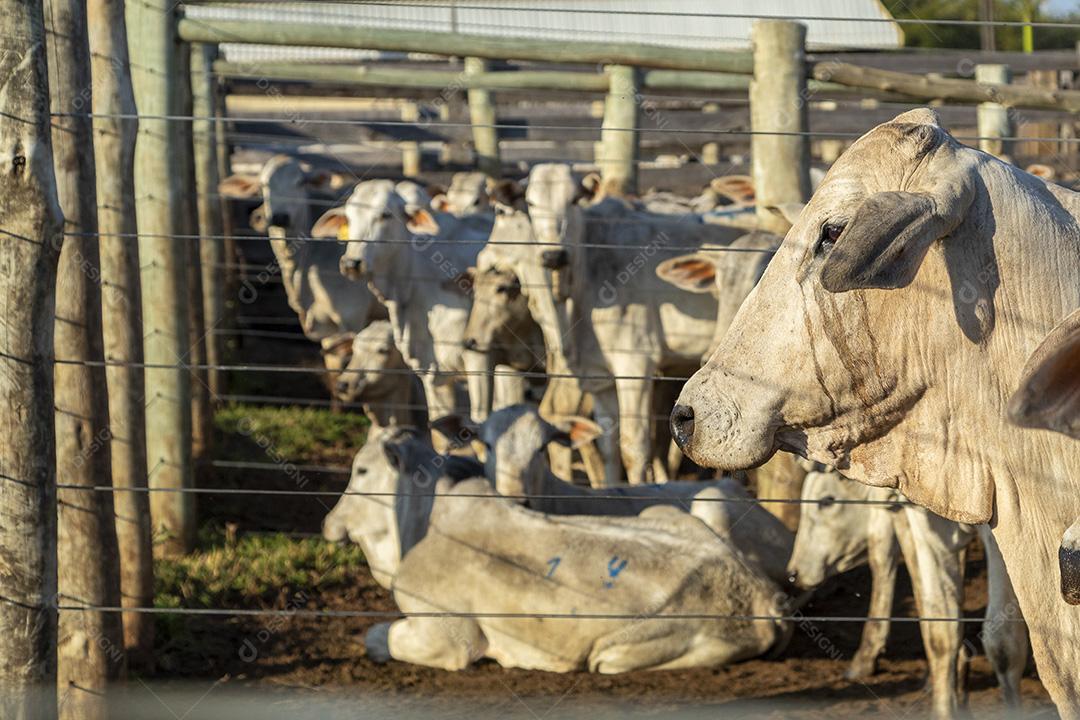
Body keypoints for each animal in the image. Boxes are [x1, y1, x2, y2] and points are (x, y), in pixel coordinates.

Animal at [323, 427, 790, 673]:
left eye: (361, 469)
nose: (328, 523)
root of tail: (760, 593)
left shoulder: (447, 636)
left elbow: (379, 637)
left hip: (616, 652)